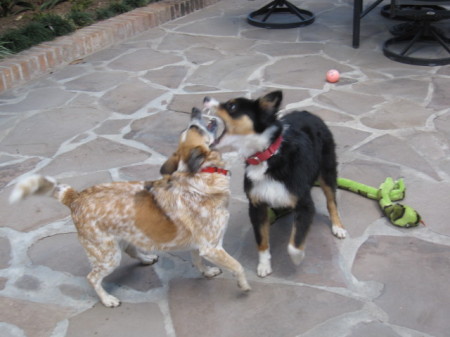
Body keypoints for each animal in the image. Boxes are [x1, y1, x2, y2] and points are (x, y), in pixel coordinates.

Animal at [9, 108, 250, 308]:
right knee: (92, 277)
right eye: (194, 127)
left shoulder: (200, 245)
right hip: (107, 255)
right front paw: (244, 285)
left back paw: (146, 258)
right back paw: (107, 299)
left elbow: (198, 260)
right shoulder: (212, 246)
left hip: (121, 239)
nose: (194, 109)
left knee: (130, 249)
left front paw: (207, 272)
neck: (202, 175)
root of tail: (75, 196)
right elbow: (237, 265)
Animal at [206, 91, 346, 276]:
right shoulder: (256, 205)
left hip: (327, 170)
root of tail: (309, 113)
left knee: (331, 200)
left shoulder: (305, 204)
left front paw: (298, 257)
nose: (205, 98)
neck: (265, 156)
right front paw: (264, 265)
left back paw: (338, 227)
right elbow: (262, 240)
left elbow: (294, 243)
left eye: (232, 106)